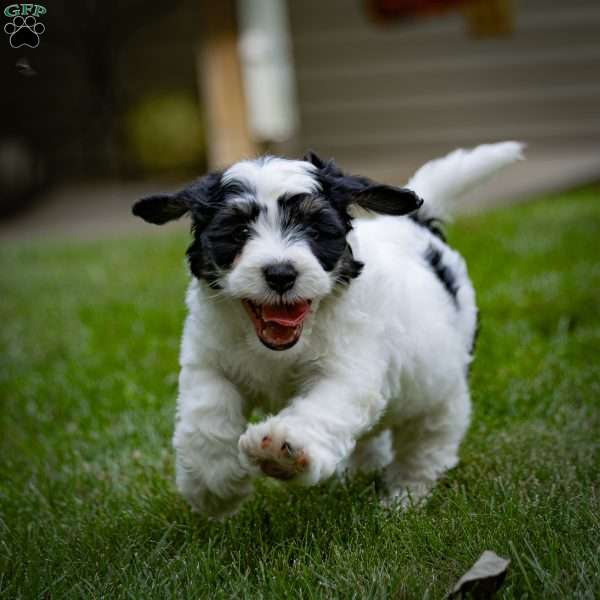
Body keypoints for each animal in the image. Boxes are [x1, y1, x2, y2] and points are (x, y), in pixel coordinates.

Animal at [132, 139, 524, 516]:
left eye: (314, 230)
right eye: (239, 231)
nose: (280, 273)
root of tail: (416, 225)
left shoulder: (350, 370)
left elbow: (323, 407)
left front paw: (281, 451)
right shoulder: (209, 361)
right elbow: (206, 417)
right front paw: (214, 486)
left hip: (442, 393)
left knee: (427, 444)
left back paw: (404, 497)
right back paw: (359, 473)